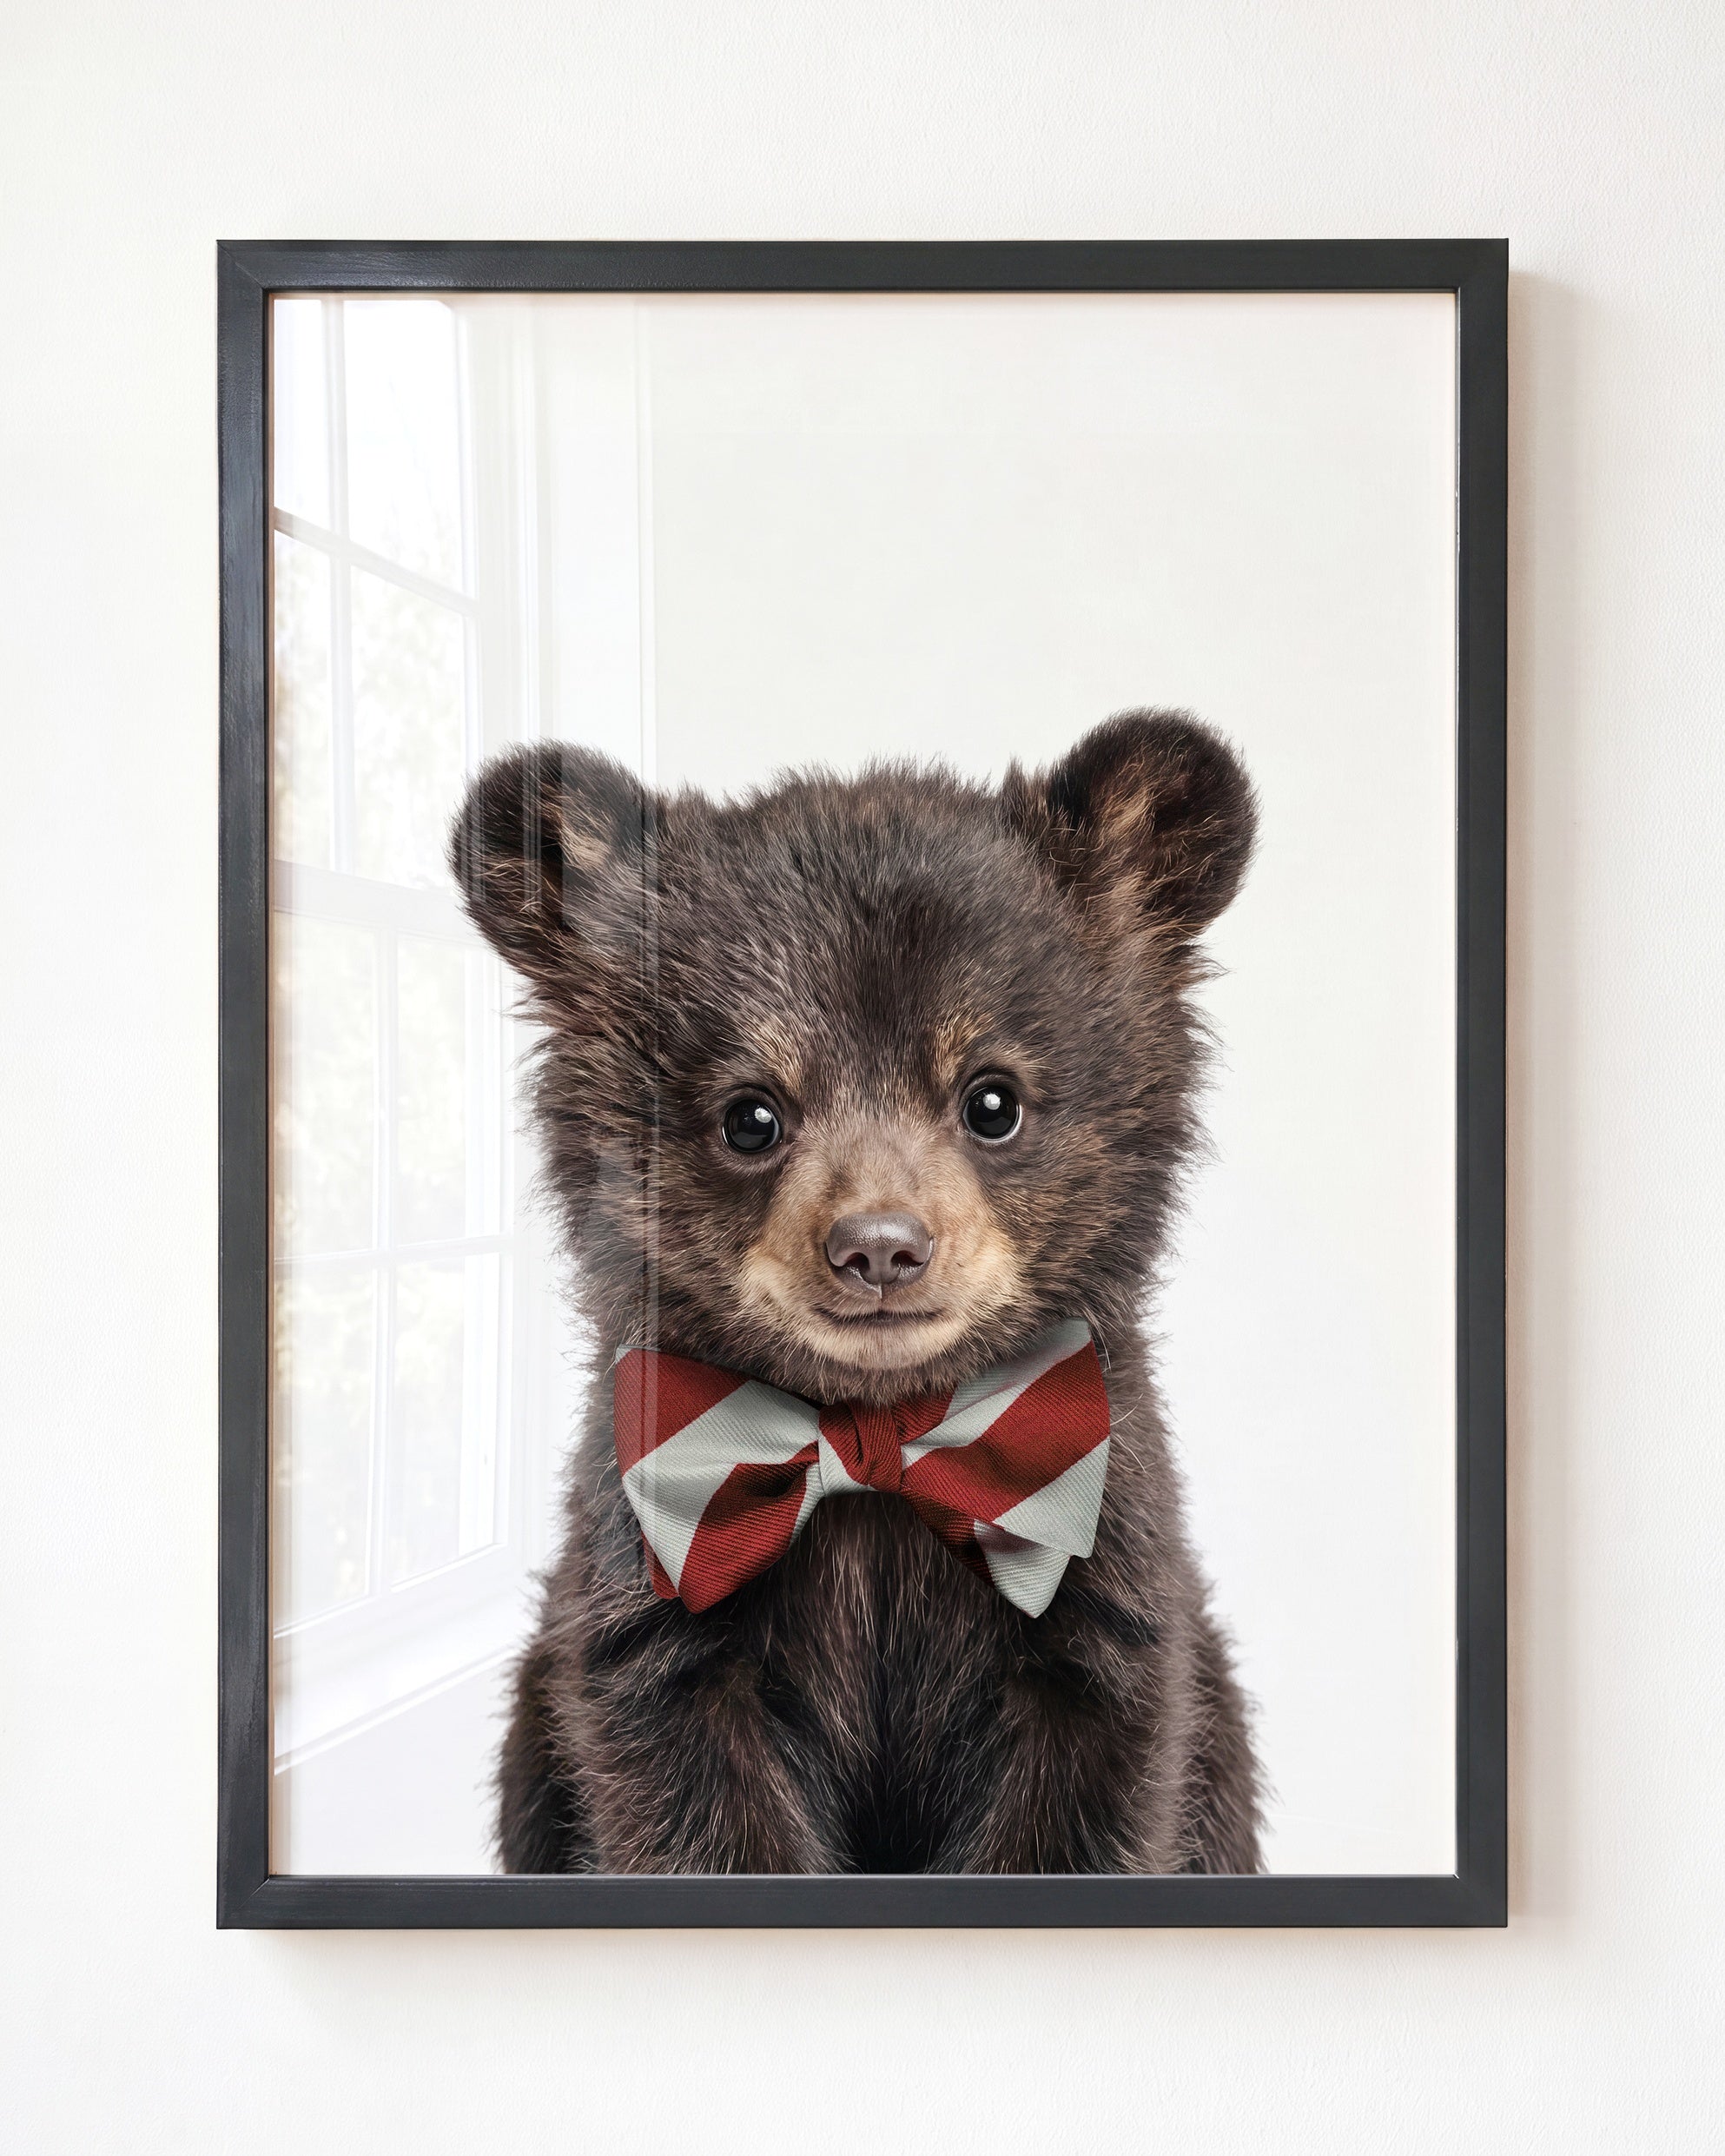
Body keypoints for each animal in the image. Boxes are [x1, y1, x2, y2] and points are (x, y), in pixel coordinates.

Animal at [450, 708, 1264, 1874]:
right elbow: (692, 1802)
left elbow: (1086, 1798)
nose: (879, 1248)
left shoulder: (1102, 1587)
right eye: (750, 1114)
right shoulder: (651, 1607)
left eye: (993, 1099)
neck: (881, 1446)